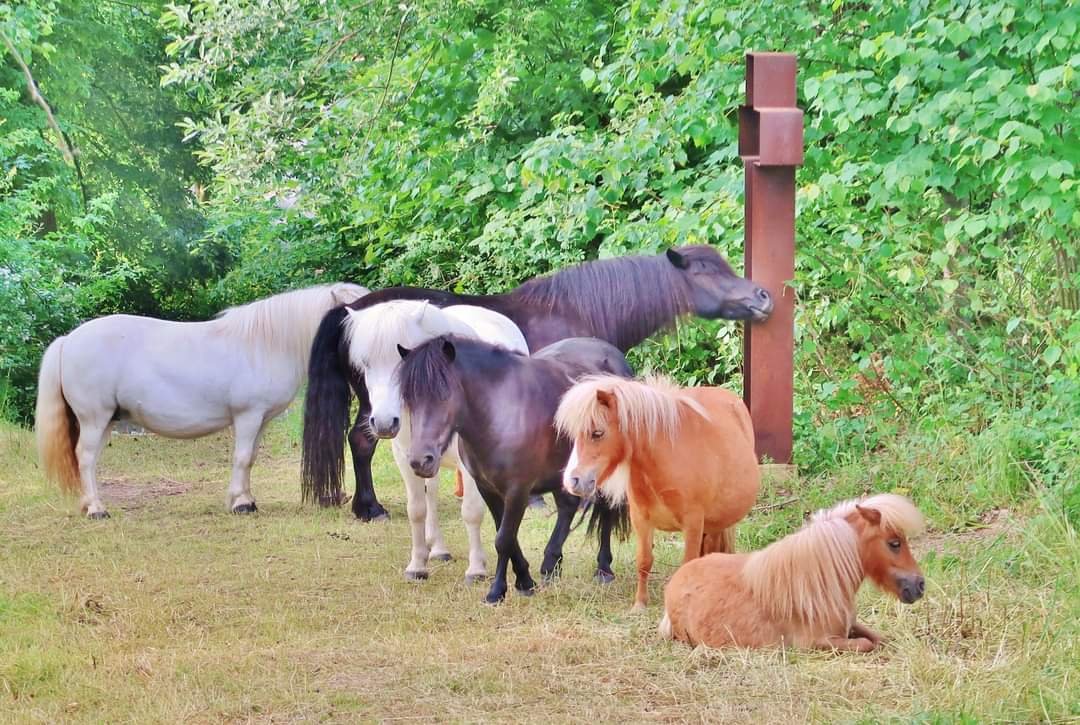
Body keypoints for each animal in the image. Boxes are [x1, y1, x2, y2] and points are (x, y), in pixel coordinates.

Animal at [33, 280, 367, 518]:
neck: (266, 344)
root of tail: (68, 341)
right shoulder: (248, 416)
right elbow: (242, 457)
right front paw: (240, 504)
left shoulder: (259, 420)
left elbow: (250, 458)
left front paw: (247, 499)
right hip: (94, 418)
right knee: (86, 457)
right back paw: (96, 509)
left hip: (105, 421)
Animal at [304, 244, 773, 522]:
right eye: (706, 272)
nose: (763, 296)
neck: (570, 313)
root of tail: (349, 312)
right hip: (380, 407)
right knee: (361, 441)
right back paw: (370, 508)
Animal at [397, 337, 630, 605]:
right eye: (409, 400)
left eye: (444, 395)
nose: (419, 461)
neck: (498, 414)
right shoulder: (487, 488)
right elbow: (507, 536)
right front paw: (525, 581)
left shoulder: (518, 489)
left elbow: (503, 539)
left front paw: (496, 591)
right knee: (568, 507)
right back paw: (551, 564)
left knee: (606, 509)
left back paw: (603, 569)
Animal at [557, 378, 760, 609]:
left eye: (597, 433)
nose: (572, 481)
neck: (664, 459)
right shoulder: (641, 520)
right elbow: (644, 560)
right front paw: (640, 604)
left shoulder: (692, 522)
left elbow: (686, 563)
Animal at [660, 492, 924, 652]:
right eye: (894, 543)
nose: (920, 585)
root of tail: (679, 576)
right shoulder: (819, 642)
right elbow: (866, 644)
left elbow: (879, 638)